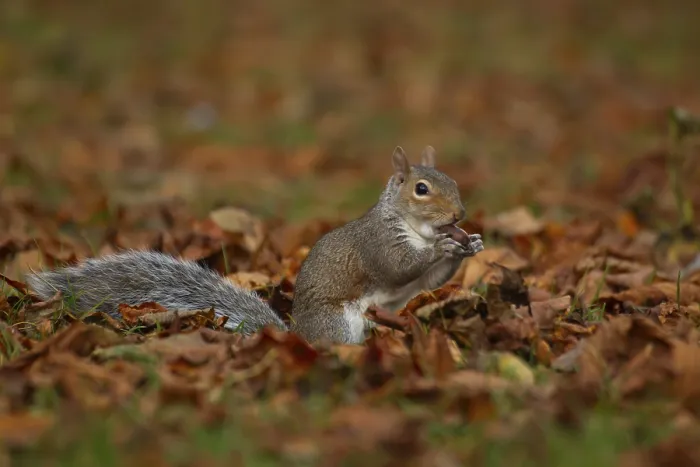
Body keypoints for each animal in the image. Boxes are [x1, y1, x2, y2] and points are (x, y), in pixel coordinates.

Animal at [26, 146, 484, 345]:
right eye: (422, 189)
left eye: (454, 181)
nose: (461, 214)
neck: (415, 227)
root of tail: (297, 337)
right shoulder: (379, 243)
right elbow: (400, 266)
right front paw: (443, 249)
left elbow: (420, 286)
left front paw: (470, 245)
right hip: (337, 323)